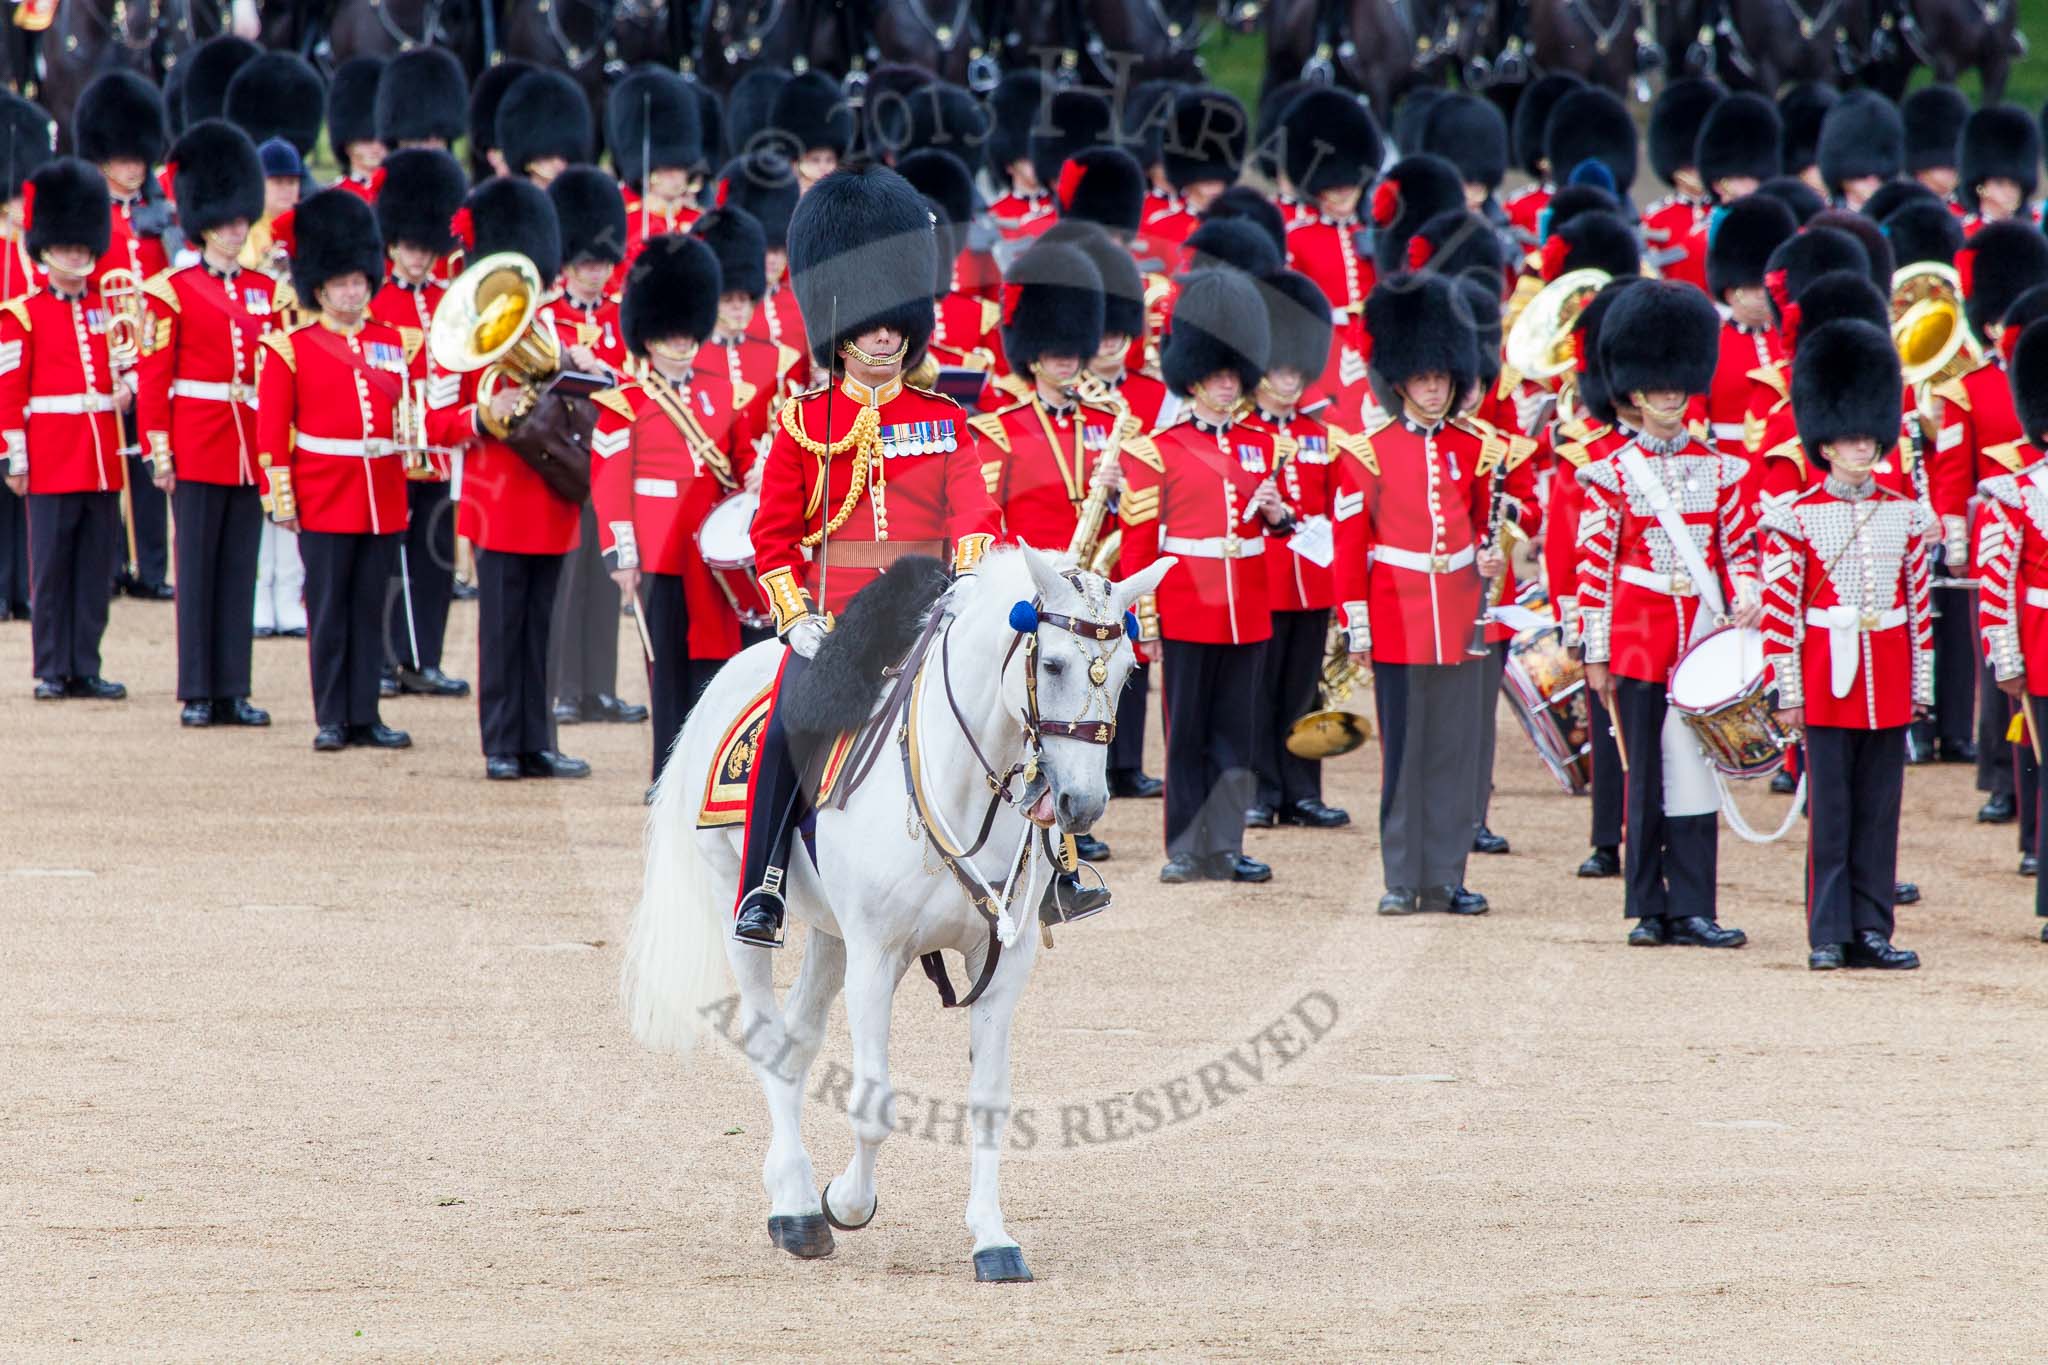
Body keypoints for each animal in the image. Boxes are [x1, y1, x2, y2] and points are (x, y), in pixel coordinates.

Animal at [618, 540, 1171, 1285]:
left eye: (1128, 672)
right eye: (1052, 663)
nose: (1081, 805)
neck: (963, 785)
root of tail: (735, 671)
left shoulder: (1000, 959)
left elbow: (989, 1099)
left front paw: (992, 1238)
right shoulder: (878, 956)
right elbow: (874, 1103)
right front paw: (846, 1203)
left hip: (831, 937)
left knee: (797, 1041)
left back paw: (786, 1189)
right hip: (743, 903)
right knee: (768, 1035)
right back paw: (798, 1206)